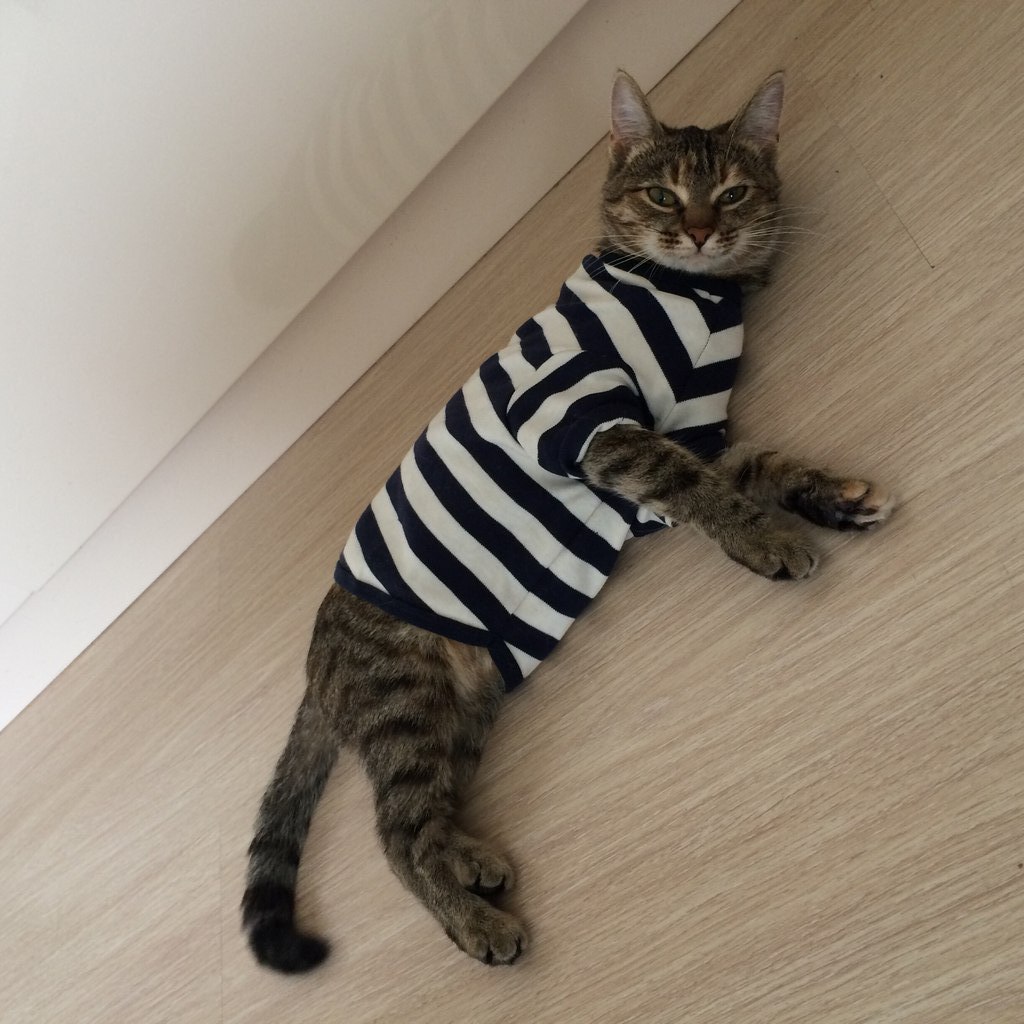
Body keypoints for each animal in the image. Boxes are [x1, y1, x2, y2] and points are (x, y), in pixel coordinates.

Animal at [241, 70, 894, 973]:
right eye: (663, 195)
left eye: (732, 192)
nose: (700, 232)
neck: (691, 296)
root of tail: (319, 655)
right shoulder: (594, 430)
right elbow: (704, 490)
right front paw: (767, 537)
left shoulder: (681, 437)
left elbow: (750, 467)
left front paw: (829, 496)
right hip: (406, 701)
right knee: (396, 835)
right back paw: (475, 922)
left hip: (464, 709)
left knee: (424, 815)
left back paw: (470, 862)